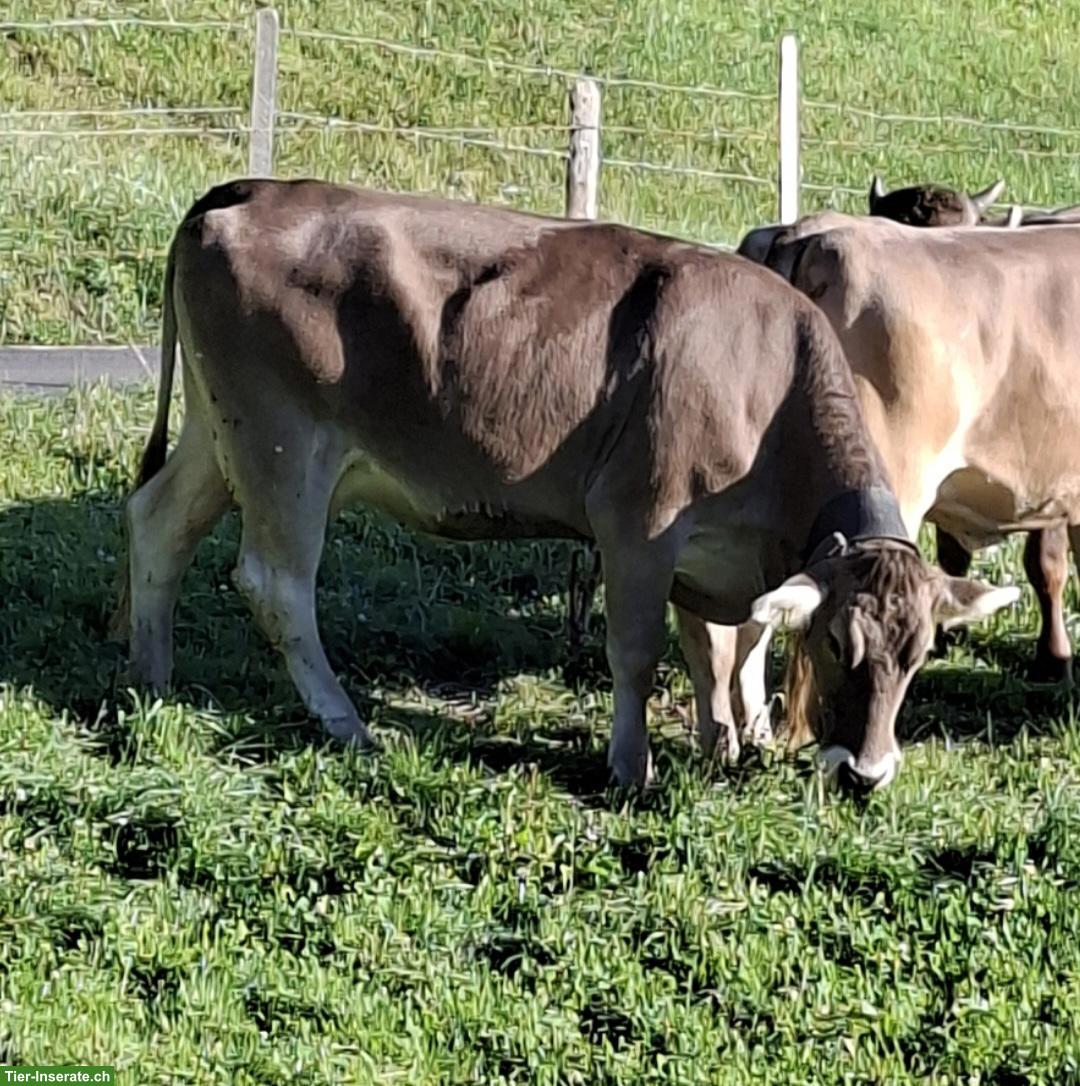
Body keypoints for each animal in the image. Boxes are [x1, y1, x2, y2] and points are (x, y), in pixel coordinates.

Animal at [114, 180, 1016, 791]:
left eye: (920, 655)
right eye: (836, 645)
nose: (867, 774)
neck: (768, 383)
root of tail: (250, 190)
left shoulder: (712, 552)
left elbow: (717, 647)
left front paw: (719, 740)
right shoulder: (639, 523)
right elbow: (639, 651)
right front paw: (630, 764)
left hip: (220, 434)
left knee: (158, 523)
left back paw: (151, 677)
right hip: (284, 448)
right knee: (275, 583)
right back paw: (345, 723)